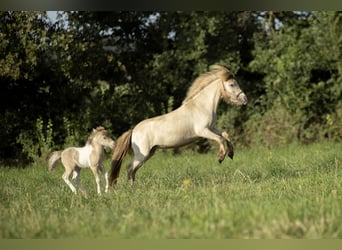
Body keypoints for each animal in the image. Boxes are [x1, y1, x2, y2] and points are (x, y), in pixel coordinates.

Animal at [109, 65, 246, 187]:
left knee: (133, 170)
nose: (245, 99)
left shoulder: (211, 128)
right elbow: (220, 138)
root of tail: (133, 131)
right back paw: (131, 189)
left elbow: (225, 135)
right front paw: (221, 157)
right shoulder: (203, 131)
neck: (201, 106)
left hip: (149, 153)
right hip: (142, 154)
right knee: (129, 168)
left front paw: (231, 153)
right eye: (232, 84)